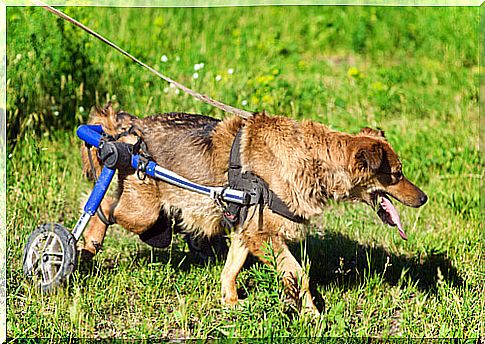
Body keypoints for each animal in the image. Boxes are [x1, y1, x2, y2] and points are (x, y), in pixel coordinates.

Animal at [81, 103, 426, 314]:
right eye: (397, 175)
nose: (423, 198)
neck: (313, 158)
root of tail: (128, 131)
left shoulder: (247, 231)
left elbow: (232, 267)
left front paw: (230, 300)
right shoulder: (265, 236)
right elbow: (299, 274)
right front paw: (312, 314)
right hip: (144, 212)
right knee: (104, 206)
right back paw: (87, 241)